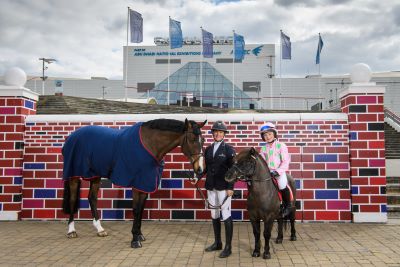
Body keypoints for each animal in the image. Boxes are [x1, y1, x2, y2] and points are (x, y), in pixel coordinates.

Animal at [63, 119, 206, 249]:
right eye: (192, 139)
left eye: (203, 140)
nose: (200, 169)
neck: (149, 144)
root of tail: (72, 136)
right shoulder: (137, 183)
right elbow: (136, 210)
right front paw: (135, 240)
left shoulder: (145, 183)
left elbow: (141, 209)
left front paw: (139, 235)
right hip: (74, 175)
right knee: (72, 199)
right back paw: (71, 231)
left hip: (95, 175)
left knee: (92, 198)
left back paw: (100, 230)